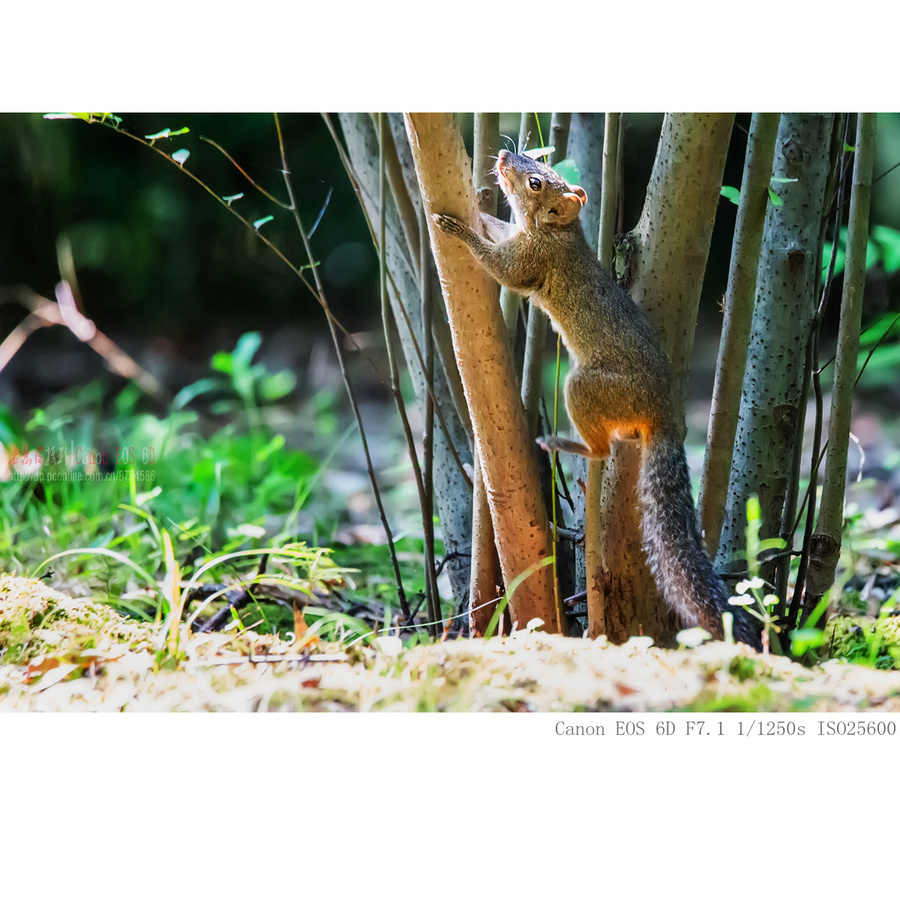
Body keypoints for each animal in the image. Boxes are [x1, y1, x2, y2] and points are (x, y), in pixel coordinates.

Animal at [432, 151, 764, 652]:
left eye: (536, 182)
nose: (505, 155)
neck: (558, 233)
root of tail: (662, 412)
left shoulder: (531, 261)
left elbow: (503, 270)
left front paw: (458, 229)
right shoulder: (520, 239)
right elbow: (499, 229)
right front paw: (482, 210)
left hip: (585, 388)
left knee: (602, 448)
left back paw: (567, 445)